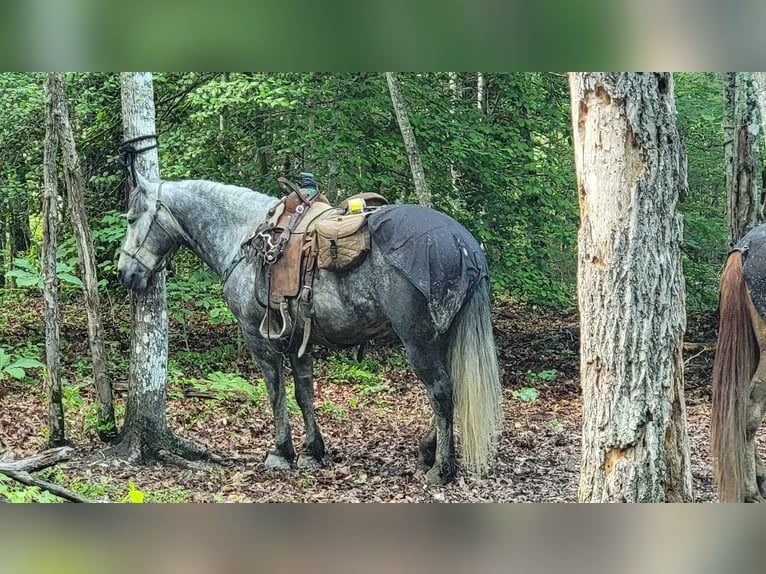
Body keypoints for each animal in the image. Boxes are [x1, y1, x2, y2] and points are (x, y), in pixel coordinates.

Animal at [117, 176, 504, 486]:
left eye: (132, 219)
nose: (125, 273)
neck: (244, 237)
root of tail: (464, 245)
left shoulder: (259, 338)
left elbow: (275, 392)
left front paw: (281, 451)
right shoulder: (298, 341)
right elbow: (304, 393)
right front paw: (312, 451)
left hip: (418, 340)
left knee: (440, 391)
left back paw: (442, 469)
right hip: (443, 336)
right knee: (450, 388)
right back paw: (427, 451)